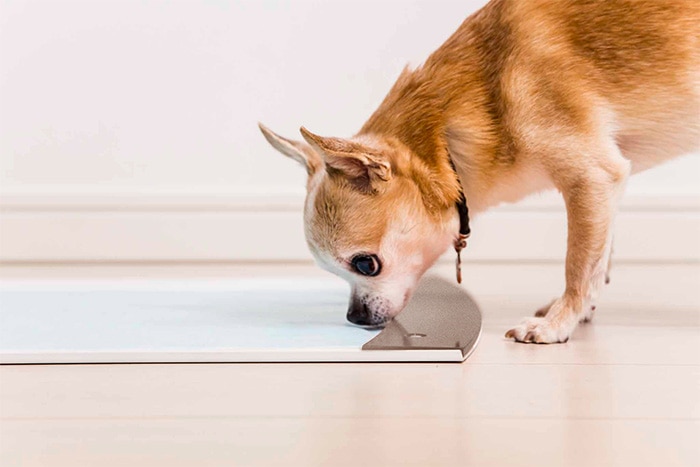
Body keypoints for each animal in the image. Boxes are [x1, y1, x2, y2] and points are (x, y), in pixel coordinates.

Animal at [259, 0, 699, 343]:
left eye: (365, 265)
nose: (355, 317)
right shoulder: (607, 186)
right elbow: (600, 257)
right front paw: (580, 311)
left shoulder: (591, 177)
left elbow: (578, 264)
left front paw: (557, 324)